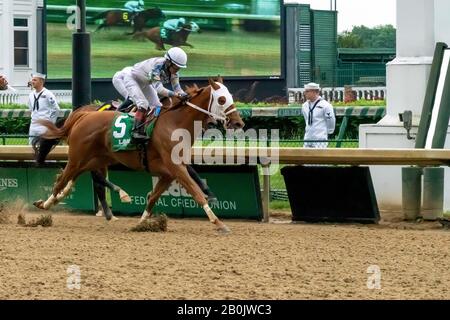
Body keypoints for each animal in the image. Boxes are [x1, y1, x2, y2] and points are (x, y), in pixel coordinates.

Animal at [32, 77, 243, 232]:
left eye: (231, 96)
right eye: (221, 99)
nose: (238, 122)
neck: (175, 122)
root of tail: (84, 115)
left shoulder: (169, 172)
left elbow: (153, 196)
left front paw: (141, 223)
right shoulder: (175, 166)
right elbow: (195, 191)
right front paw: (218, 222)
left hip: (96, 159)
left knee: (78, 178)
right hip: (78, 158)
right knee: (64, 179)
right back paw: (47, 204)